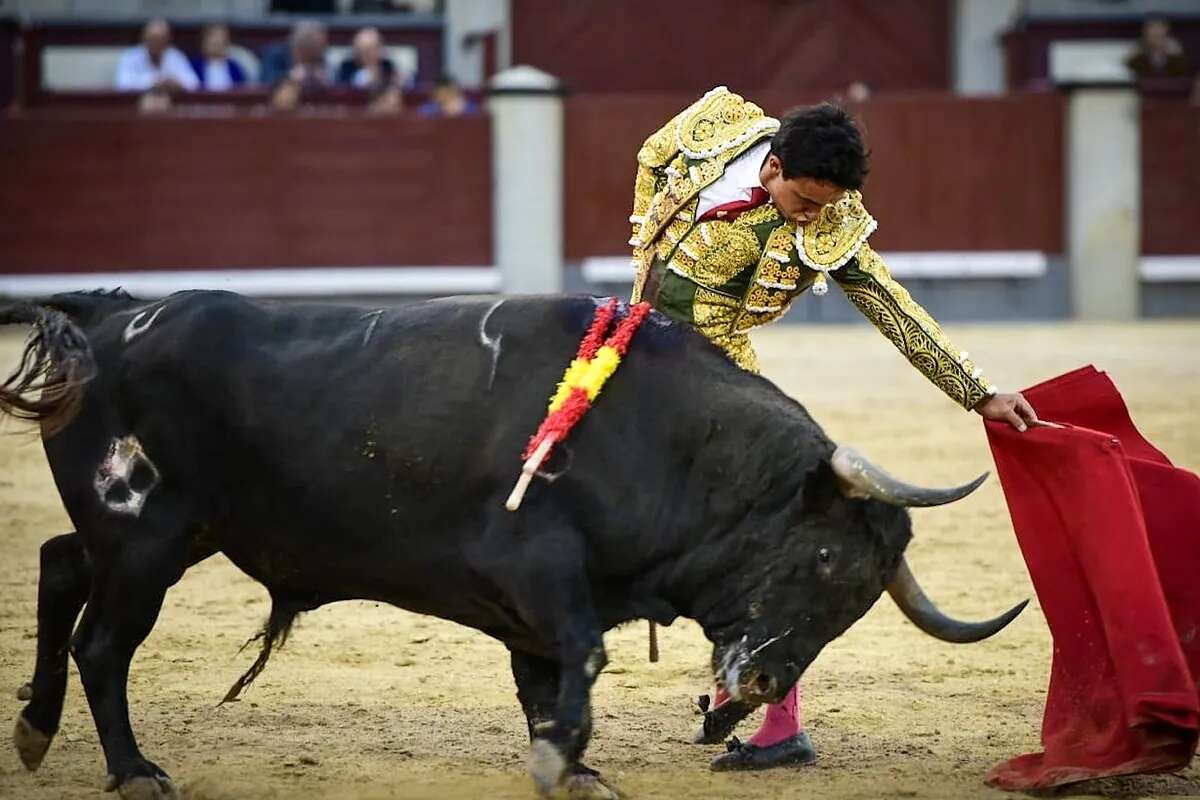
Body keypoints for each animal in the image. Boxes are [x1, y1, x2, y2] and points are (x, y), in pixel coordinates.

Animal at [2, 291, 1022, 796]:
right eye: (823, 560)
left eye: (858, 604)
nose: (768, 682)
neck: (657, 435)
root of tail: (105, 320)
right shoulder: (534, 569)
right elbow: (586, 655)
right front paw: (562, 760)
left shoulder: (540, 602)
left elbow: (549, 677)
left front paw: (573, 766)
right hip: (145, 540)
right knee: (103, 645)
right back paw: (133, 773)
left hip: (162, 536)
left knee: (56, 564)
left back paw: (36, 731)